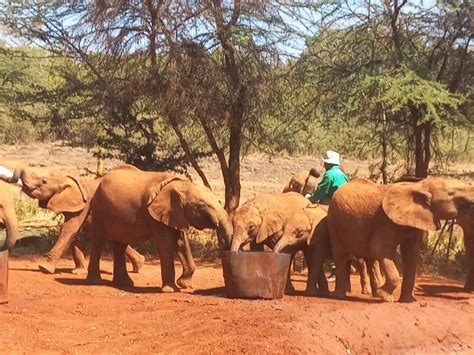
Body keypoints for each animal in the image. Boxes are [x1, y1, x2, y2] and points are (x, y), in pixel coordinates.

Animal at [0, 167, 144, 276]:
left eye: (44, 181)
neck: (67, 179)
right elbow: (74, 233)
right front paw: (78, 272)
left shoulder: (84, 204)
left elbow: (69, 229)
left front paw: (44, 268)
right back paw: (139, 265)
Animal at [86, 167, 233, 292]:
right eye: (202, 205)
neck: (179, 185)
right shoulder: (155, 214)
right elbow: (166, 243)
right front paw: (171, 290)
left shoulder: (175, 213)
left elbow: (181, 242)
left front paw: (185, 285)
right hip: (99, 209)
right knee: (98, 241)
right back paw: (95, 281)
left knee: (120, 244)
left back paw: (124, 283)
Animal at [330, 178, 474, 304]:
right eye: (451, 193)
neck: (419, 185)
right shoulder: (385, 221)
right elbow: (380, 250)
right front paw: (386, 298)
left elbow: (411, 254)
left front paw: (408, 301)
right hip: (334, 221)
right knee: (341, 256)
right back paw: (340, 296)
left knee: (370, 259)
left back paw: (374, 294)